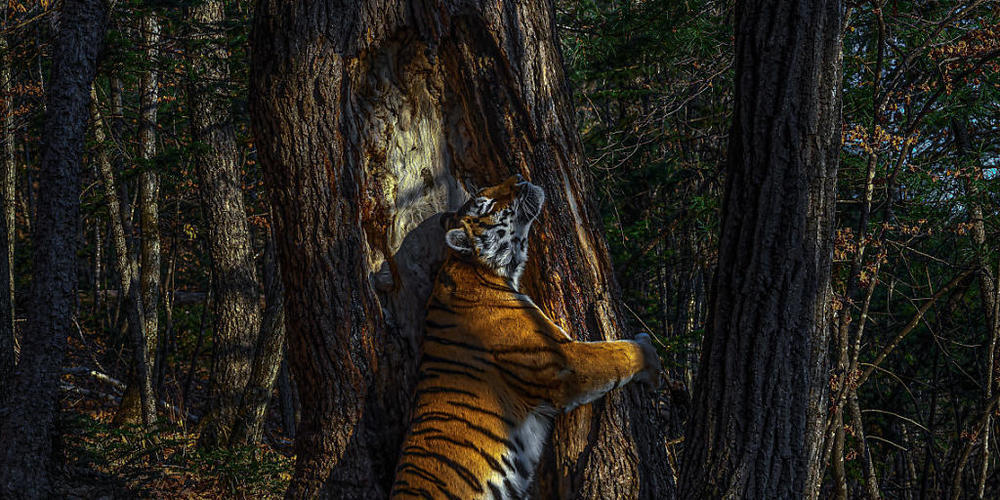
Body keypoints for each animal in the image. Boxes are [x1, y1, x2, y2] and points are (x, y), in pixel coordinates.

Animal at [390, 175, 662, 500]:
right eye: (488, 204)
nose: (519, 178)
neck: (477, 270)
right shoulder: (564, 362)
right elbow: (616, 354)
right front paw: (651, 355)